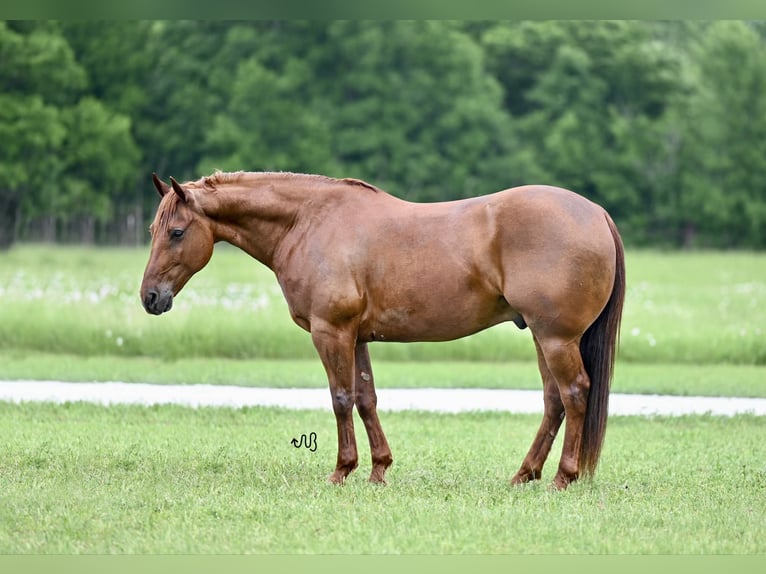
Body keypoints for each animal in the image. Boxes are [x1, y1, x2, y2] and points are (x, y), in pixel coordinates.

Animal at [142, 171, 624, 490]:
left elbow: (340, 399)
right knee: (554, 402)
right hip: (543, 338)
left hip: (556, 338)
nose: (150, 297)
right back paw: (525, 474)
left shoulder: (330, 332)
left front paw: (342, 470)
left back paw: (562, 477)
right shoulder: (356, 337)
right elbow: (366, 399)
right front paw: (378, 469)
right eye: (153, 229)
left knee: (574, 394)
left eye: (177, 232)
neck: (308, 221)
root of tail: (597, 213)